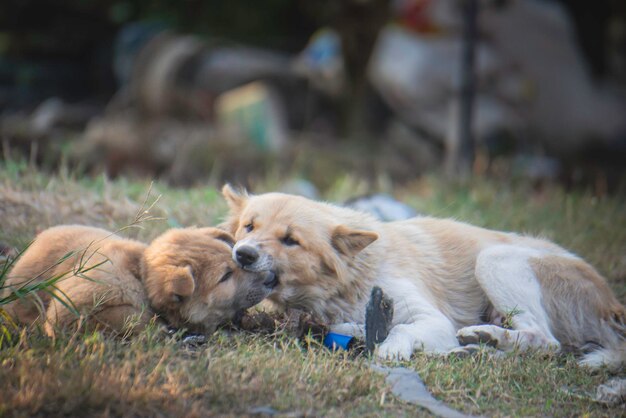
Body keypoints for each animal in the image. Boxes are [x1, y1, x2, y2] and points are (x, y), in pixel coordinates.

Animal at [1, 225, 276, 336]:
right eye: (225, 276)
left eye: (236, 259)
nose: (271, 278)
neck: (140, 275)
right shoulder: (66, 312)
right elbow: (130, 315)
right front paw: (157, 327)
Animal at [222, 185, 620, 370]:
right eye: (249, 227)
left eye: (291, 240)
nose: (243, 254)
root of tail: (612, 306)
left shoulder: (432, 320)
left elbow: (401, 328)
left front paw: (391, 347)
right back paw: (476, 348)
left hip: (494, 259)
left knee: (545, 340)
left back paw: (485, 335)